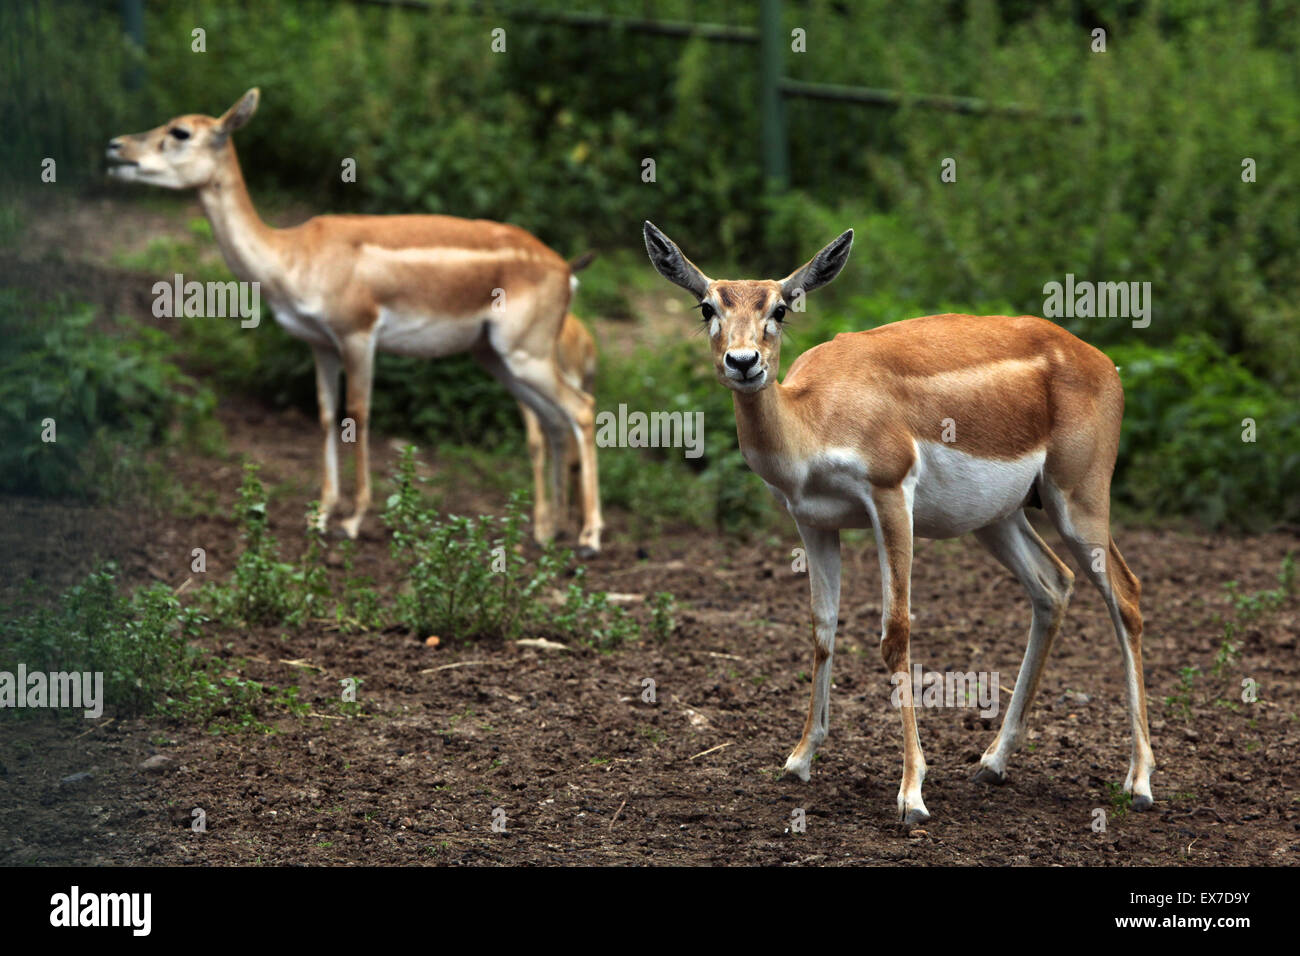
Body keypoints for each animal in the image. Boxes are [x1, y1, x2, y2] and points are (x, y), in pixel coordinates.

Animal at [106, 89, 603, 554]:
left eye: (180, 131)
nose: (115, 147)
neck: (291, 256)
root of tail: (567, 271)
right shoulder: (320, 343)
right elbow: (327, 415)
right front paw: (320, 514)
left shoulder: (358, 333)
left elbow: (358, 413)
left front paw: (354, 519)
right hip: (495, 356)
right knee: (553, 422)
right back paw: (550, 533)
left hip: (526, 353)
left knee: (581, 408)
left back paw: (589, 536)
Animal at [644, 221, 1154, 827]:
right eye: (707, 306)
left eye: (781, 307)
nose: (743, 362)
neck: (814, 417)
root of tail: (1104, 363)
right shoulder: (812, 521)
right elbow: (822, 629)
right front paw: (798, 760)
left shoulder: (890, 498)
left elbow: (896, 634)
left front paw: (912, 793)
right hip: (999, 518)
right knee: (1053, 585)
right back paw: (992, 763)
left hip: (1079, 501)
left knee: (1126, 595)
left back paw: (1139, 782)